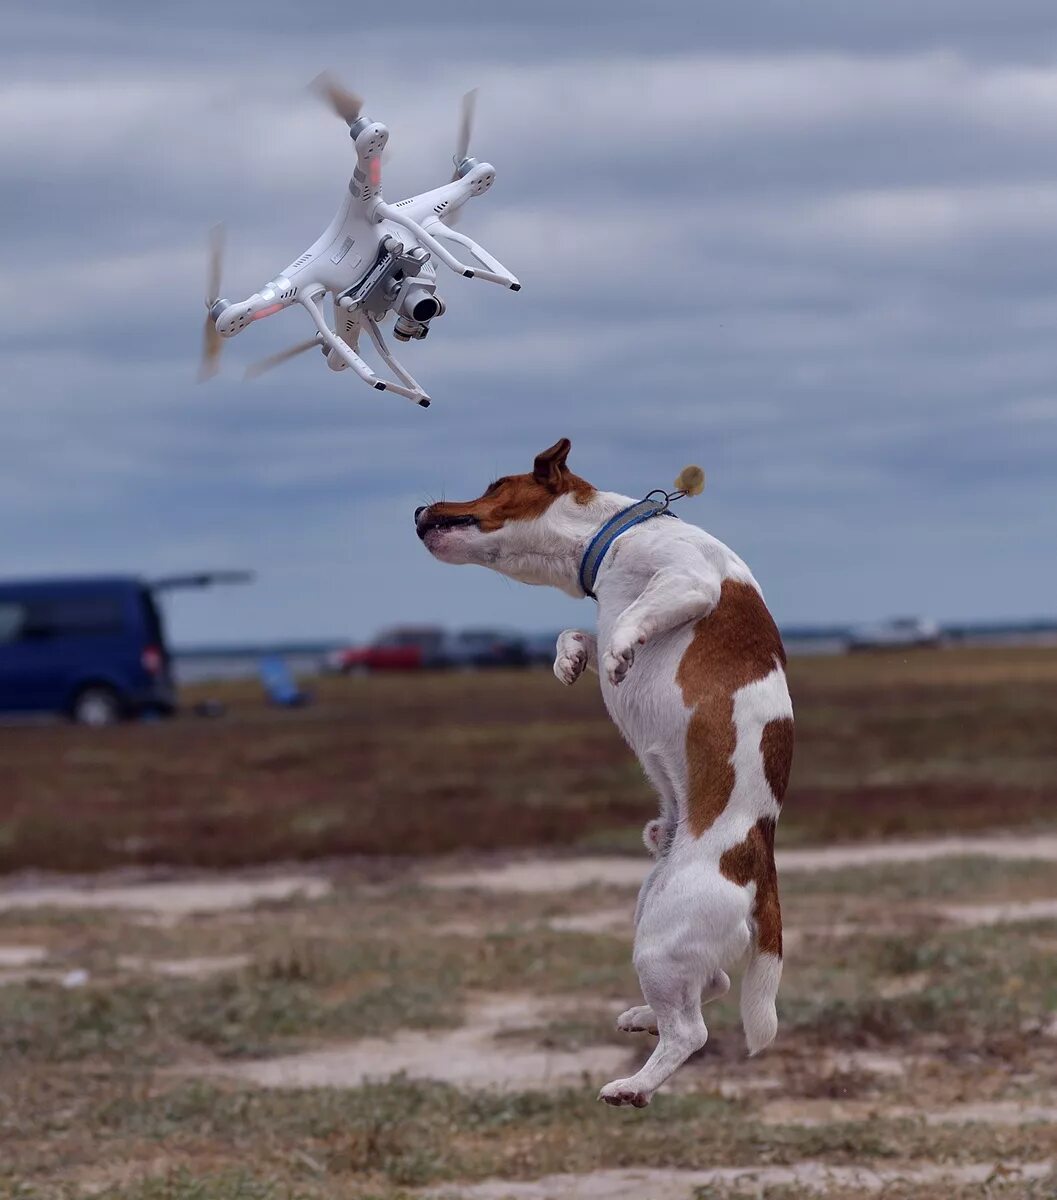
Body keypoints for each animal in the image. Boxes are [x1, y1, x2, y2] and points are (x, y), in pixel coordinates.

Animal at [415, 441, 791, 1104]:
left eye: (493, 484)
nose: (416, 510)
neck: (614, 536)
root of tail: (759, 865)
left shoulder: (687, 580)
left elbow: (629, 622)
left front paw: (618, 652)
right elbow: (579, 635)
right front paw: (570, 658)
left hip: (663, 938)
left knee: (691, 1030)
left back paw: (633, 1085)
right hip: (654, 917)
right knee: (712, 984)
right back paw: (641, 1018)